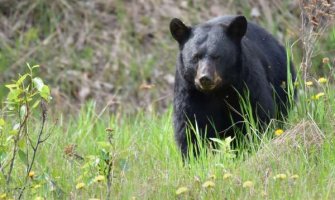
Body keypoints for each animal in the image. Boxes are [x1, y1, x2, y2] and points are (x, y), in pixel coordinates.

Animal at [171, 15, 296, 158]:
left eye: (217, 56)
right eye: (196, 57)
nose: (205, 78)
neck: (217, 91)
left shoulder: (245, 83)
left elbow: (257, 115)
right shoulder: (190, 92)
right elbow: (190, 126)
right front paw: (195, 157)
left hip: (283, 82)